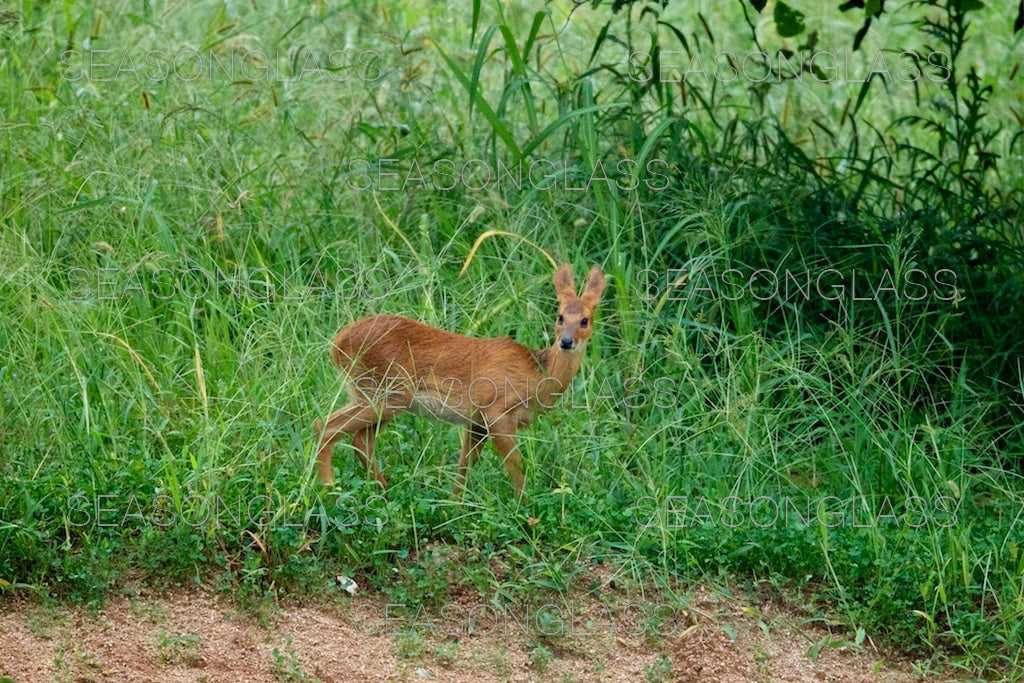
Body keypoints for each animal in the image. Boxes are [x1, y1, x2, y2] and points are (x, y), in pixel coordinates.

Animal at [309, 264, 598, 497]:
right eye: (560, 316)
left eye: (585, 320)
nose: (566, 341)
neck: (538, 373)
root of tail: (337, 344)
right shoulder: (497, 412)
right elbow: (515, 464)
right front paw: (524, 508)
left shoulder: (476, 422)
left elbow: (466, 463)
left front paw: (454, 503)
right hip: (386, 393)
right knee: (326, 426)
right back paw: (330, 489)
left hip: (376, 396)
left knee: (359, 440)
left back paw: (382, 490)